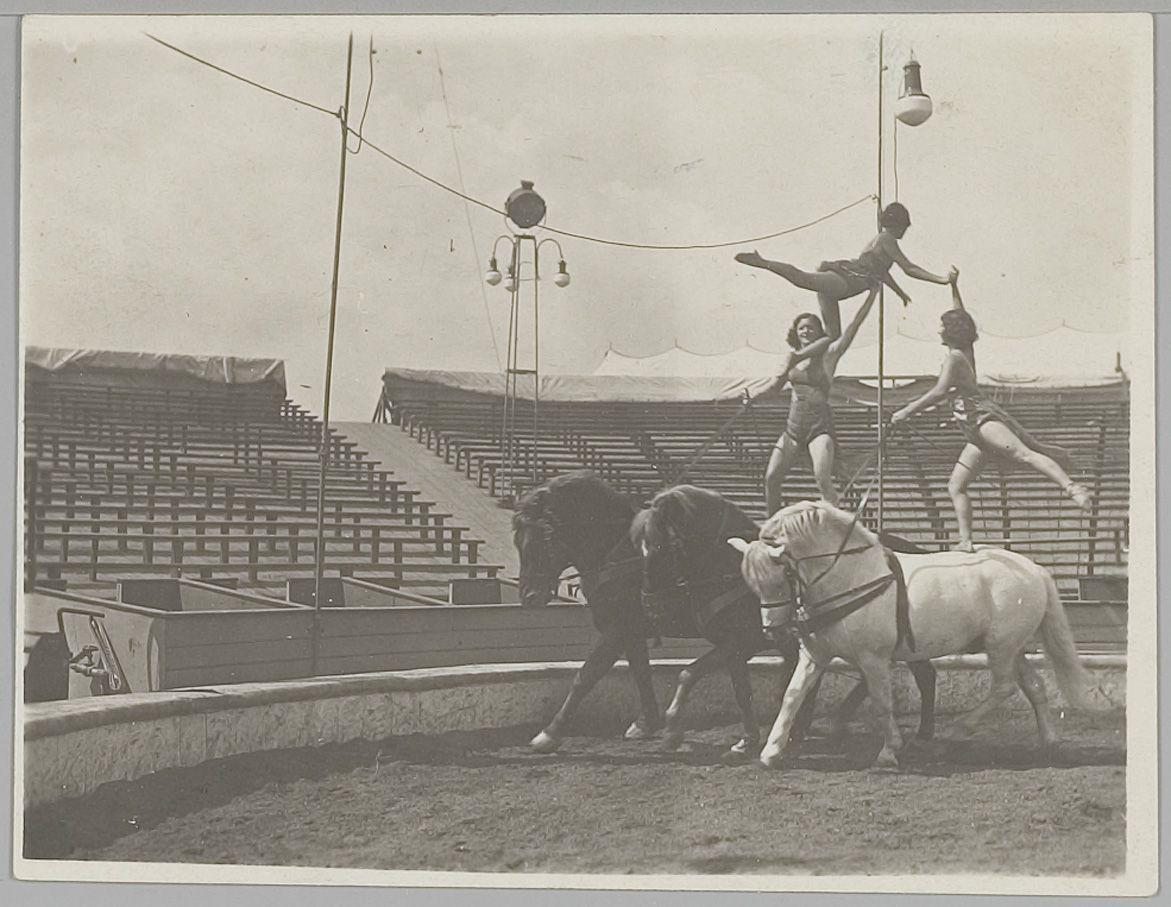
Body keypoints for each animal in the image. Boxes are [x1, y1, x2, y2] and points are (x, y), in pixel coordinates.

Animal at [729, 500, 1094, 770]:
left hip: (1001, 646)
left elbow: (881, 702)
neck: (851, 577)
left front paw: (889, 751)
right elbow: (792, 696)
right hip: (1014, 647)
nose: (773, 632)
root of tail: (1035, 569)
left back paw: (956, 730)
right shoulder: (815, 656)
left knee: (1004, 687)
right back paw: (1049, 740)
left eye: (781, 580)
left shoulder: (874, 659)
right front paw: (771, 751)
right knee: (1034, 686)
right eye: (753, 585)